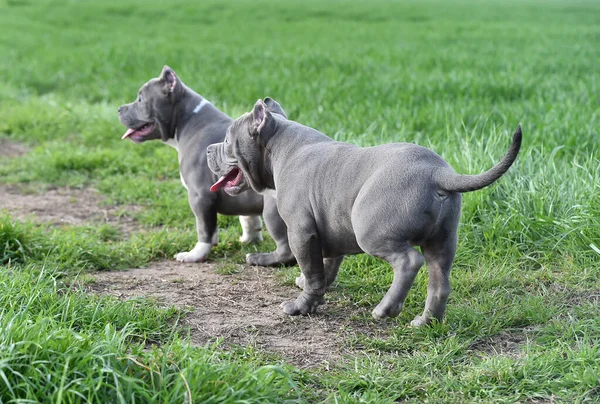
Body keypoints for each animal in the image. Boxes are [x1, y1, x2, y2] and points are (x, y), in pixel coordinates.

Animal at [116, 68, 292, 266]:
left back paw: (262, 259)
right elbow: (248, 218)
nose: (119, 109)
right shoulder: (239, 189)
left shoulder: (199, 196)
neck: (188, 120)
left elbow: (204, 228)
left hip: (273, 212)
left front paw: (195, 254)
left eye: (140, 99)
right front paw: (250, 240)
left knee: (287, 247)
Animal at [209, 98, 524, 328]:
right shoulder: (326, 228)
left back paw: (386, 309)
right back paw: (425, 322)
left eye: (226, 141)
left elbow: (313, 271)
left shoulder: (301, 232)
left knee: (409, 261)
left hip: (372, 232)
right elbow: (325, 266)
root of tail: (438, 173)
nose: (209, 150)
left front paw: (301, 306)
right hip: (443, 241)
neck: (279, 143)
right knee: (439, 282)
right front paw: (311, 288)